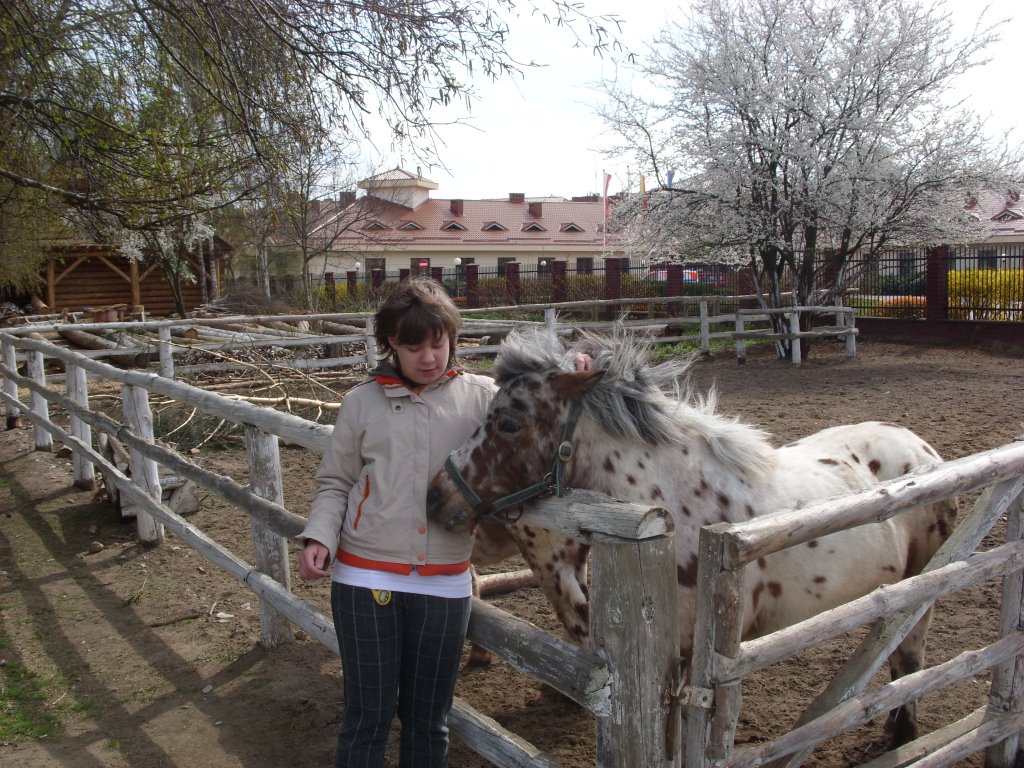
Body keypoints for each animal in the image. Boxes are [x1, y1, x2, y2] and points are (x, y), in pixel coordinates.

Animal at [428, 329, 954, 745]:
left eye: (509, 422)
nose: (435, 496)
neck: (680, 507)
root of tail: (924, 449)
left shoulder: (687, 662)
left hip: (922, 592)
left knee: (909, 659)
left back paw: (901, 735)